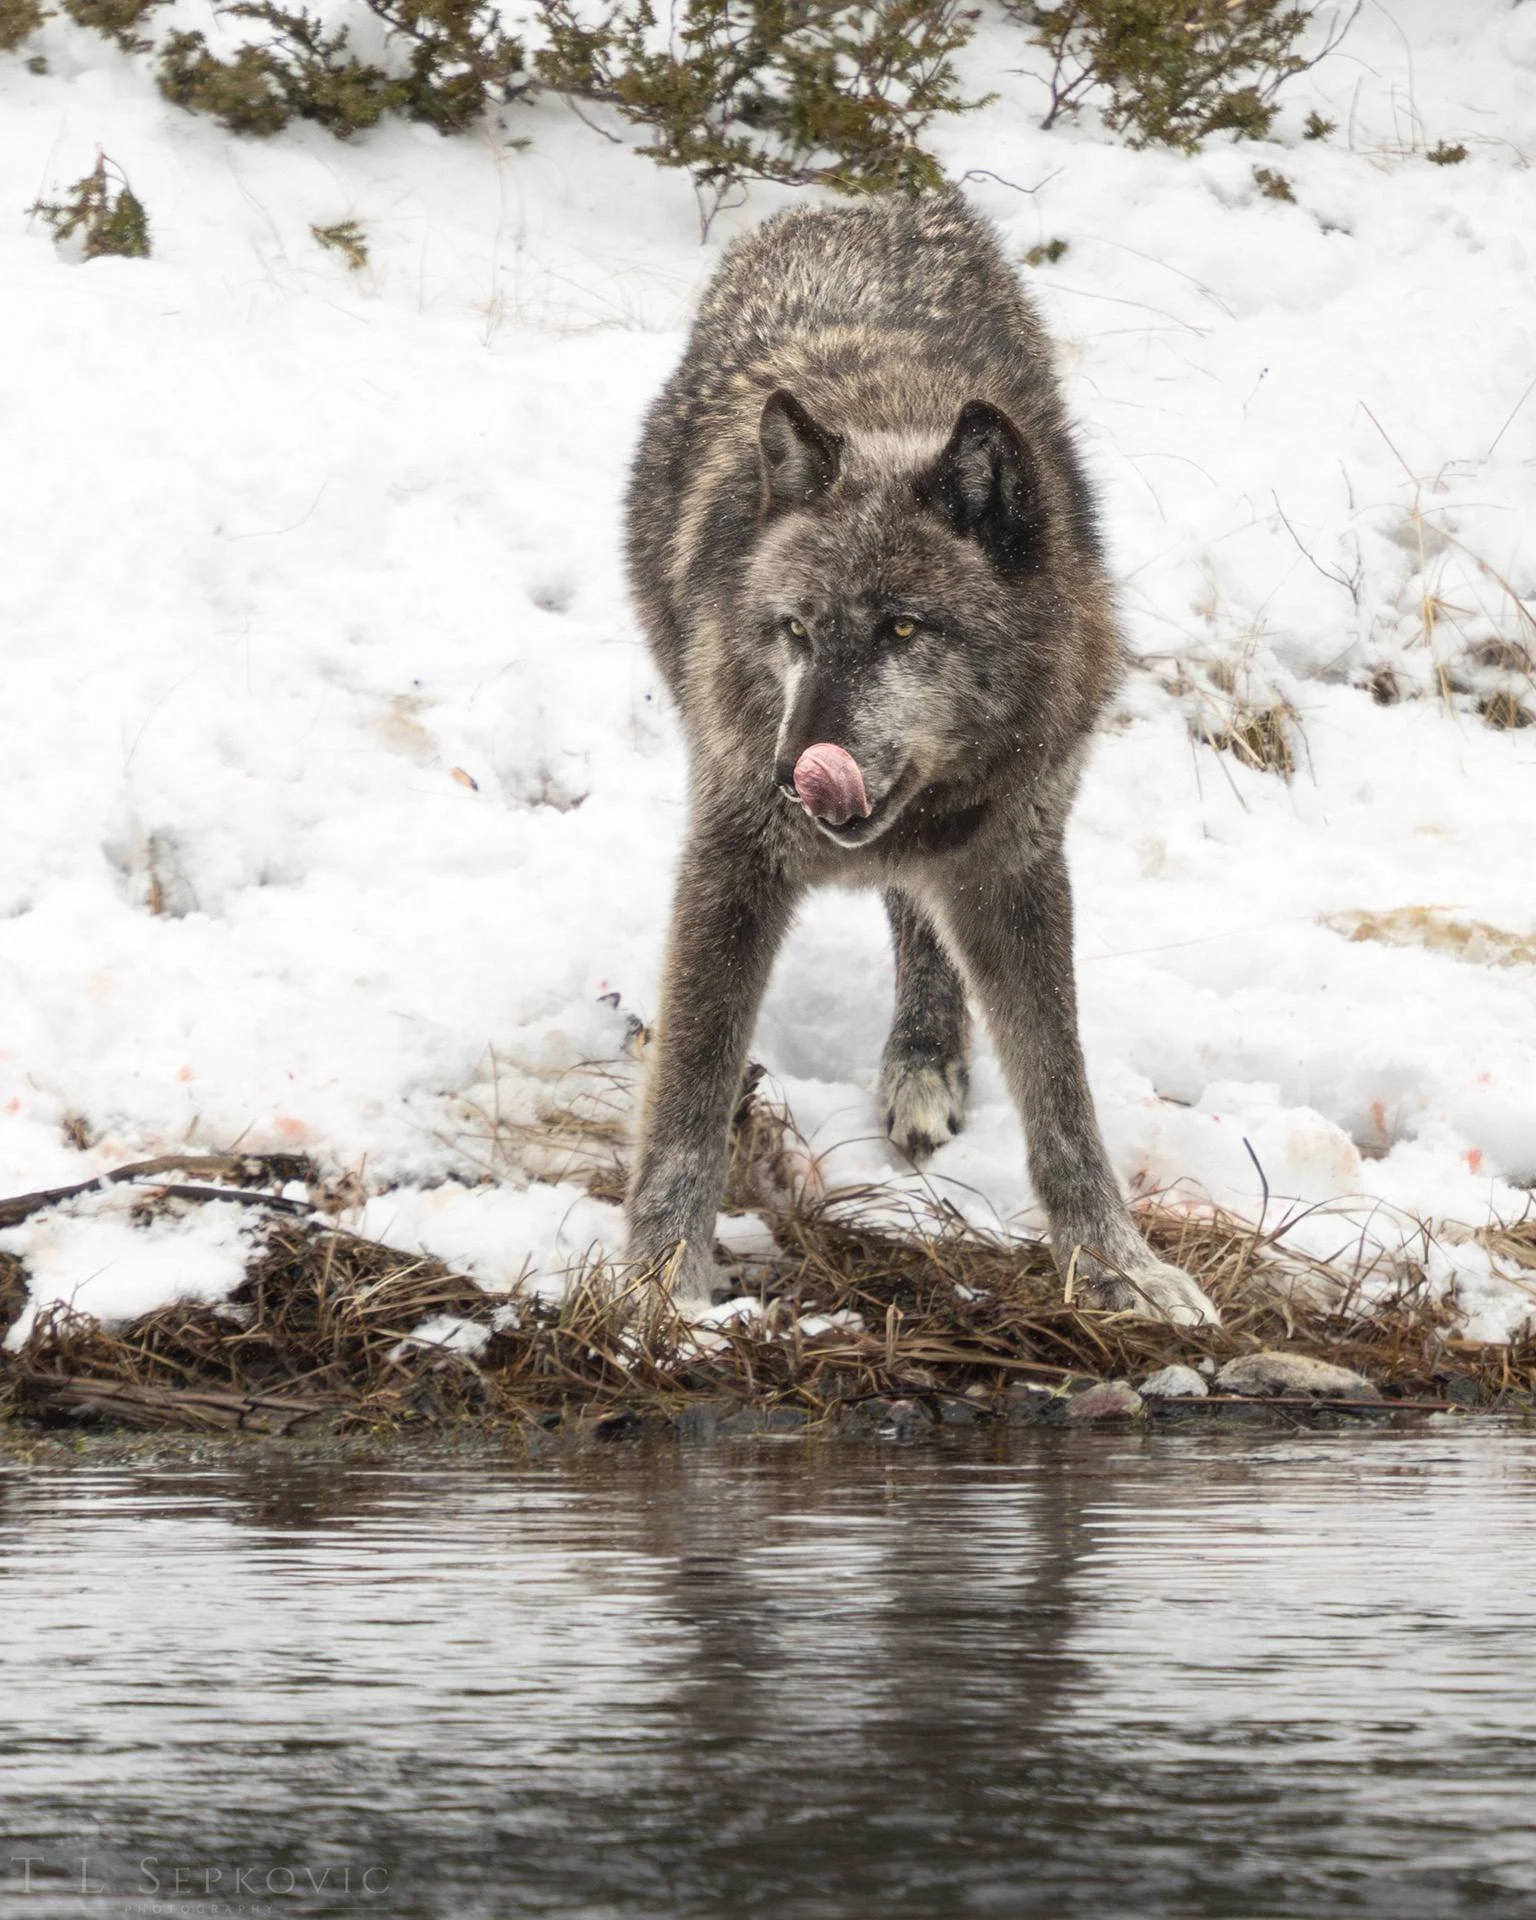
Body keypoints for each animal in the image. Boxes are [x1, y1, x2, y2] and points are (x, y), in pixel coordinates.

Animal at [622, 192, 1218, 1328]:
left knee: (917, 918)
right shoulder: (729, 862)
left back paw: (923, 1064)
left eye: (903, 629)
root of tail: (850, 206)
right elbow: (686, 1106)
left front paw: (1119, 1270)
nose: (788, 776)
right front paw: (655, 1293)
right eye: (796, 631)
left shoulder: (1014, 871)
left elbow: (1064, 1105)